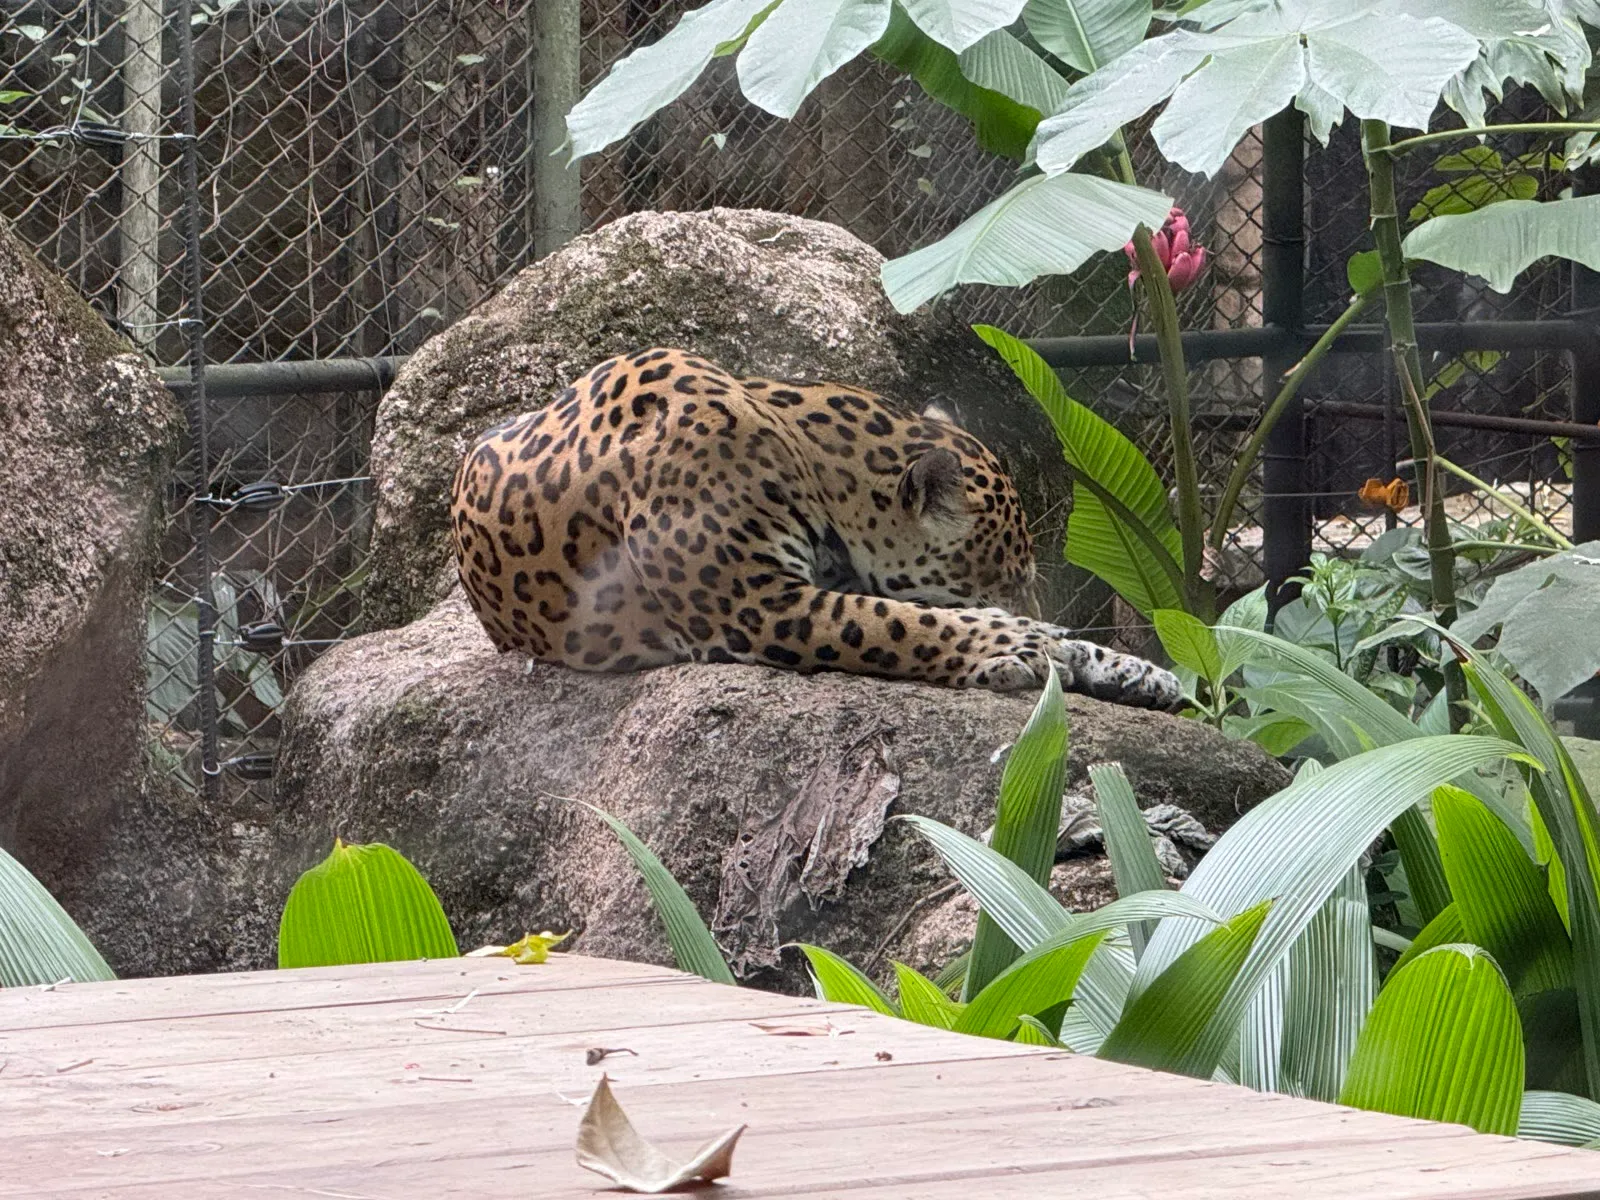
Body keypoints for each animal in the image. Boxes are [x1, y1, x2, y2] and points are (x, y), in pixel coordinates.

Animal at [449, 347, 1181, 709]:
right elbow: (905, 624)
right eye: (1007, 575)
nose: (1037, 610)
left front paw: (1132, 670)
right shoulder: (759, 605)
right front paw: (1021, 642)